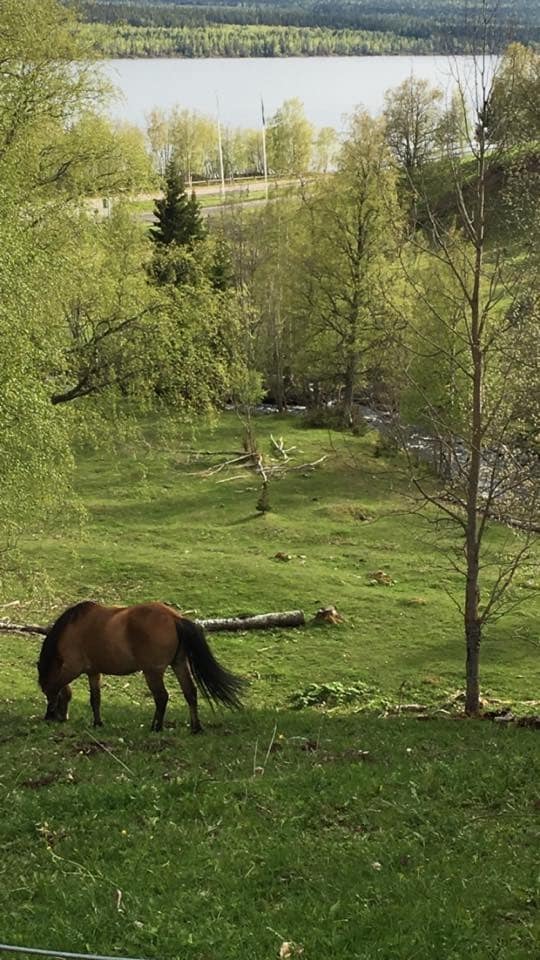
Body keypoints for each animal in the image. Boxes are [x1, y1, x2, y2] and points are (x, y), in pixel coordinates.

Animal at [39, 604, 246, 732]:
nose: (60, 717)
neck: (72, 627)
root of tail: (174, 618)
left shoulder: (72, 668)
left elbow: (56, 687)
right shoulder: (94, 672)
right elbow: (95, 699)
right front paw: (97, 723)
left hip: (152, 672)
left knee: (162, 697)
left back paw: (156, 727)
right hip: (179, 664)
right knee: (190, 692)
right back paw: (195, 728)